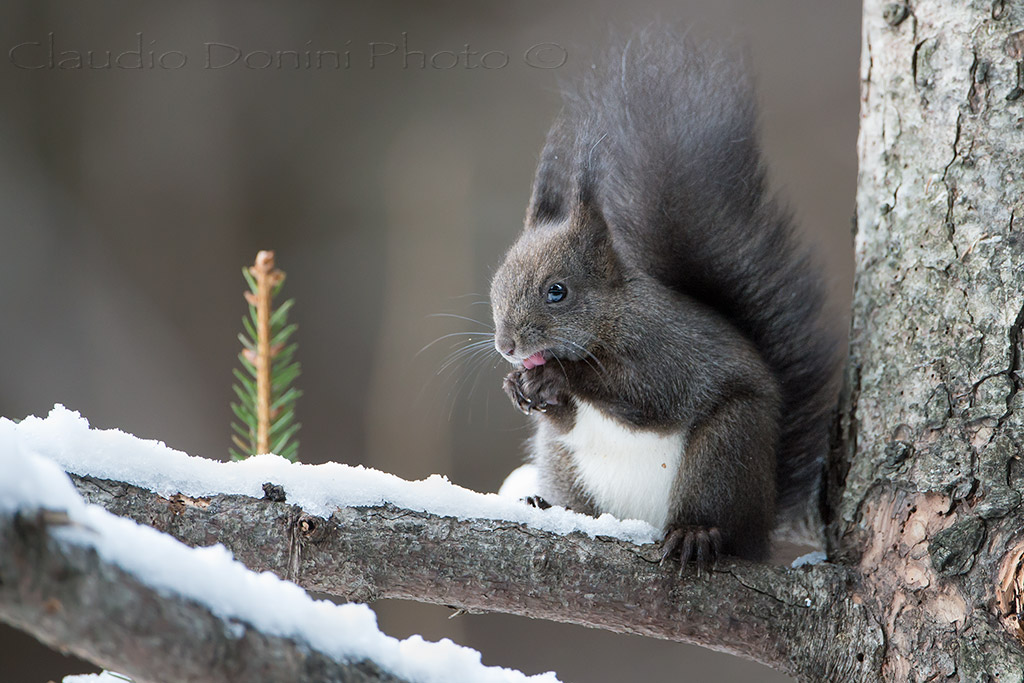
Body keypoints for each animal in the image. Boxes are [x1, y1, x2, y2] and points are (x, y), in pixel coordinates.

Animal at [488, 32, 841, 569]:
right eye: (496, 285)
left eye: (557, 292)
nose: (507, 346)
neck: (611, 320)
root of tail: (761, 527)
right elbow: (566, 418)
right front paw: (518, 386)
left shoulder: (668, 354)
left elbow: (646, 397)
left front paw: (560, 376)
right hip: (564, 463)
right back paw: (545, 504)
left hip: (725, 450)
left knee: (717, 518)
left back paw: (698, 534)